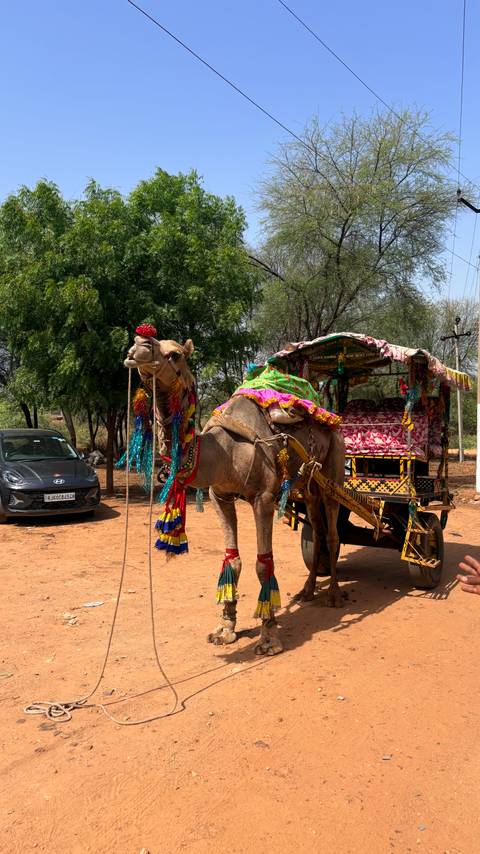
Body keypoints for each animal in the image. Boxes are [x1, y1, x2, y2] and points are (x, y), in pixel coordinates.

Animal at [124, 330, 345, 655]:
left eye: (174, 353)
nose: (139, 345)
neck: (224, 452)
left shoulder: (263, 498)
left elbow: (263, 564)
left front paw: (269, 637)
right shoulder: (221, 497)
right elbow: (233, 560)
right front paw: (225, 628)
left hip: (334, 469)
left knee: (332, 530)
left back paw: (333, 595)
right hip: (308, 484)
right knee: (316, 528)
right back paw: (307, 592)